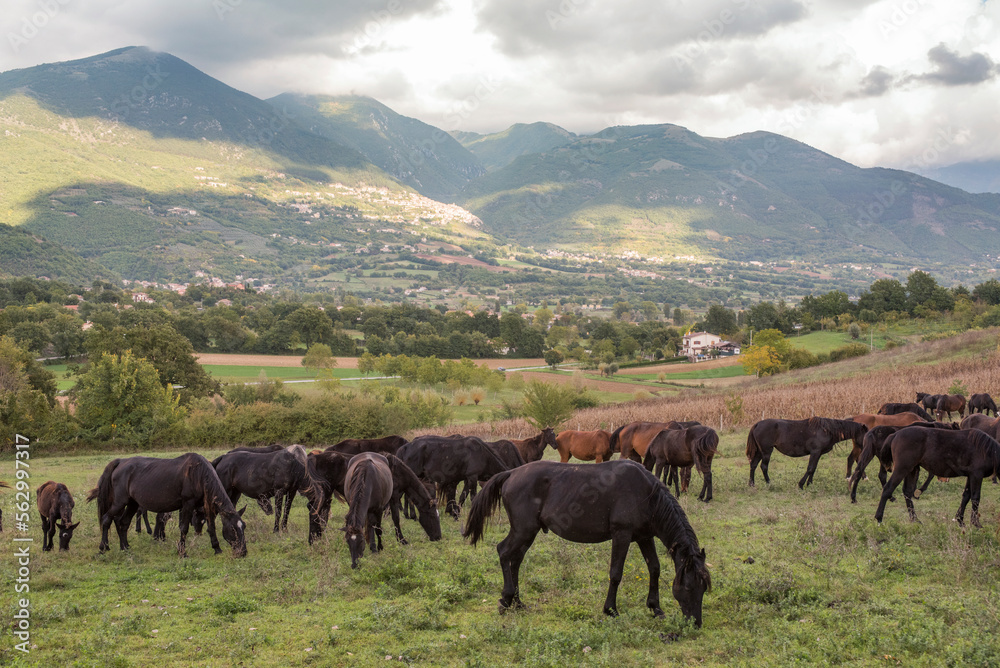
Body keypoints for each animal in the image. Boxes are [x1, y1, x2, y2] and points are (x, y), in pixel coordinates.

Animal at [88, 453, 247, 557]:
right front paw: (182, 552)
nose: (243, 552)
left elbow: (211, 526)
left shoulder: (205, 505)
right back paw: (103, 548)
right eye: (233, 529)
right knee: (106, 519)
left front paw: (216, 548)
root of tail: (120, 462)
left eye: (243, 527)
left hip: (132, 503)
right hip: (120, 502)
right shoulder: (187, 504)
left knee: (123, 523)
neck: (199, 473)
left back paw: (125, 548)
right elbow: (184, 528)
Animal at [463, 460, 711, 626]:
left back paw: (518, 602)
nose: (696, 623)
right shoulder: (622, 535)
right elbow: (616, 573)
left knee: (515, 560)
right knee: (504, 553)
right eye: (689, 587)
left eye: (704, 587)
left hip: (527, 533)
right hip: (523, 530)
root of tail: (511, 473)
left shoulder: (644, 537)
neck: (646, 494)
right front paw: (610, 610)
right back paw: (506, 600)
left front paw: (655, 607)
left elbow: (655, 568)